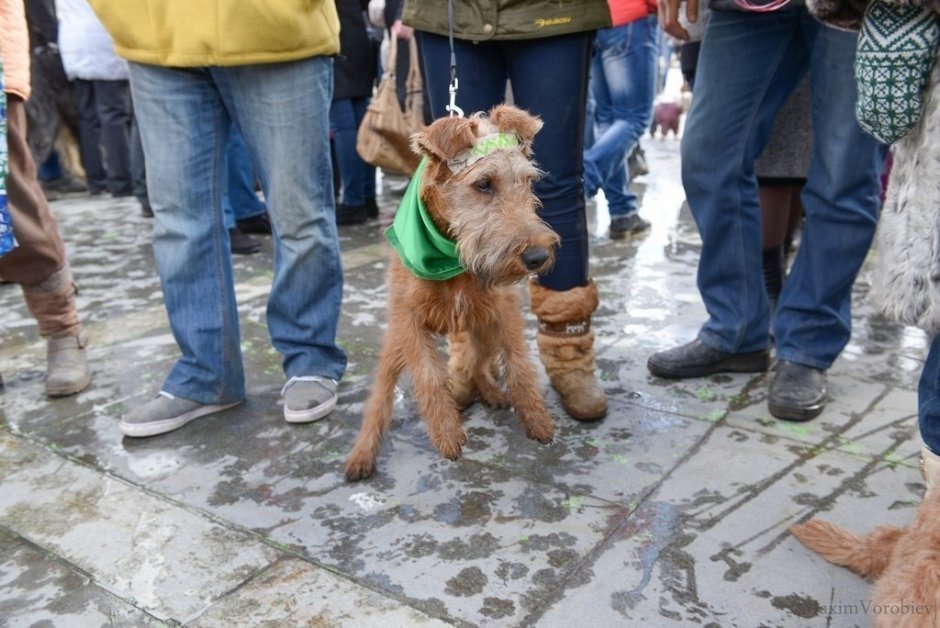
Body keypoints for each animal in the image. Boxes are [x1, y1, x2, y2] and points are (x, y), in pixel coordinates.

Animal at [346, 105, 560, 484]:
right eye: (483, 184)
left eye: (528, 181)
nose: (537, 257)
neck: (450, 255)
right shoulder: (411, 322)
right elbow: (430, 378)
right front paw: (447, 433)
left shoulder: (503, 312)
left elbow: (519, 365)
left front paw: (536, 419)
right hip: (396, 348)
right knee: (380, 401)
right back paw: (362, 455)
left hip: (483, 327)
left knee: (477, 361)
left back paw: (489, 391)